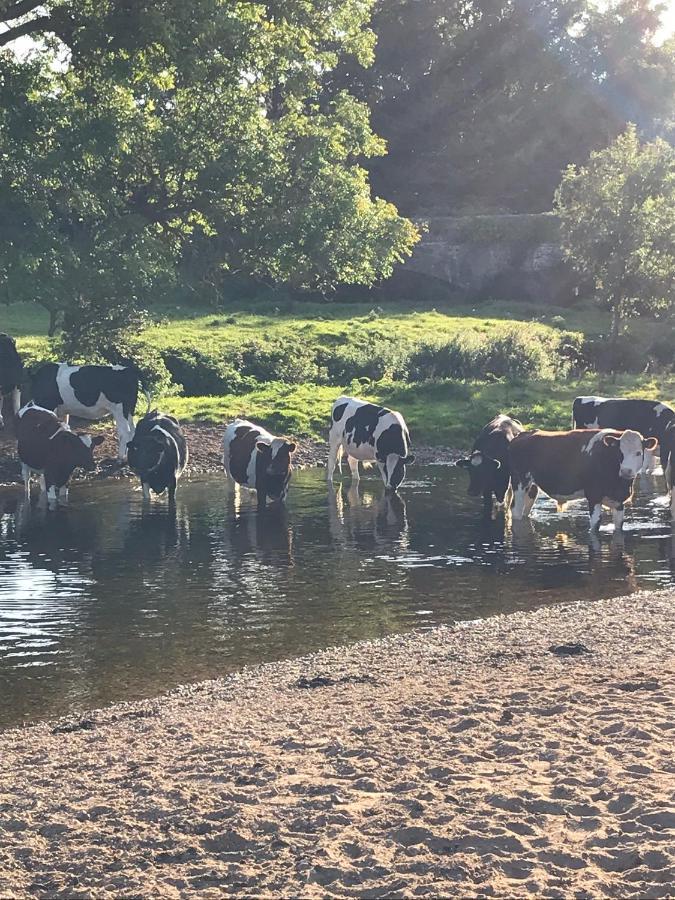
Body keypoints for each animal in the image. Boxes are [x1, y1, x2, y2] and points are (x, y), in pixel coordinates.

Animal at [510, 428, 656, 528]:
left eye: (638, 453)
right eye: (619, 452)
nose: (626, 471)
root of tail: (523, 434)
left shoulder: (619, 502)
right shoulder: (594, 496)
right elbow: (594, 527)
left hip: (531, 487)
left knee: (524, 511)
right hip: (520, 483)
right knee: (515, 511)